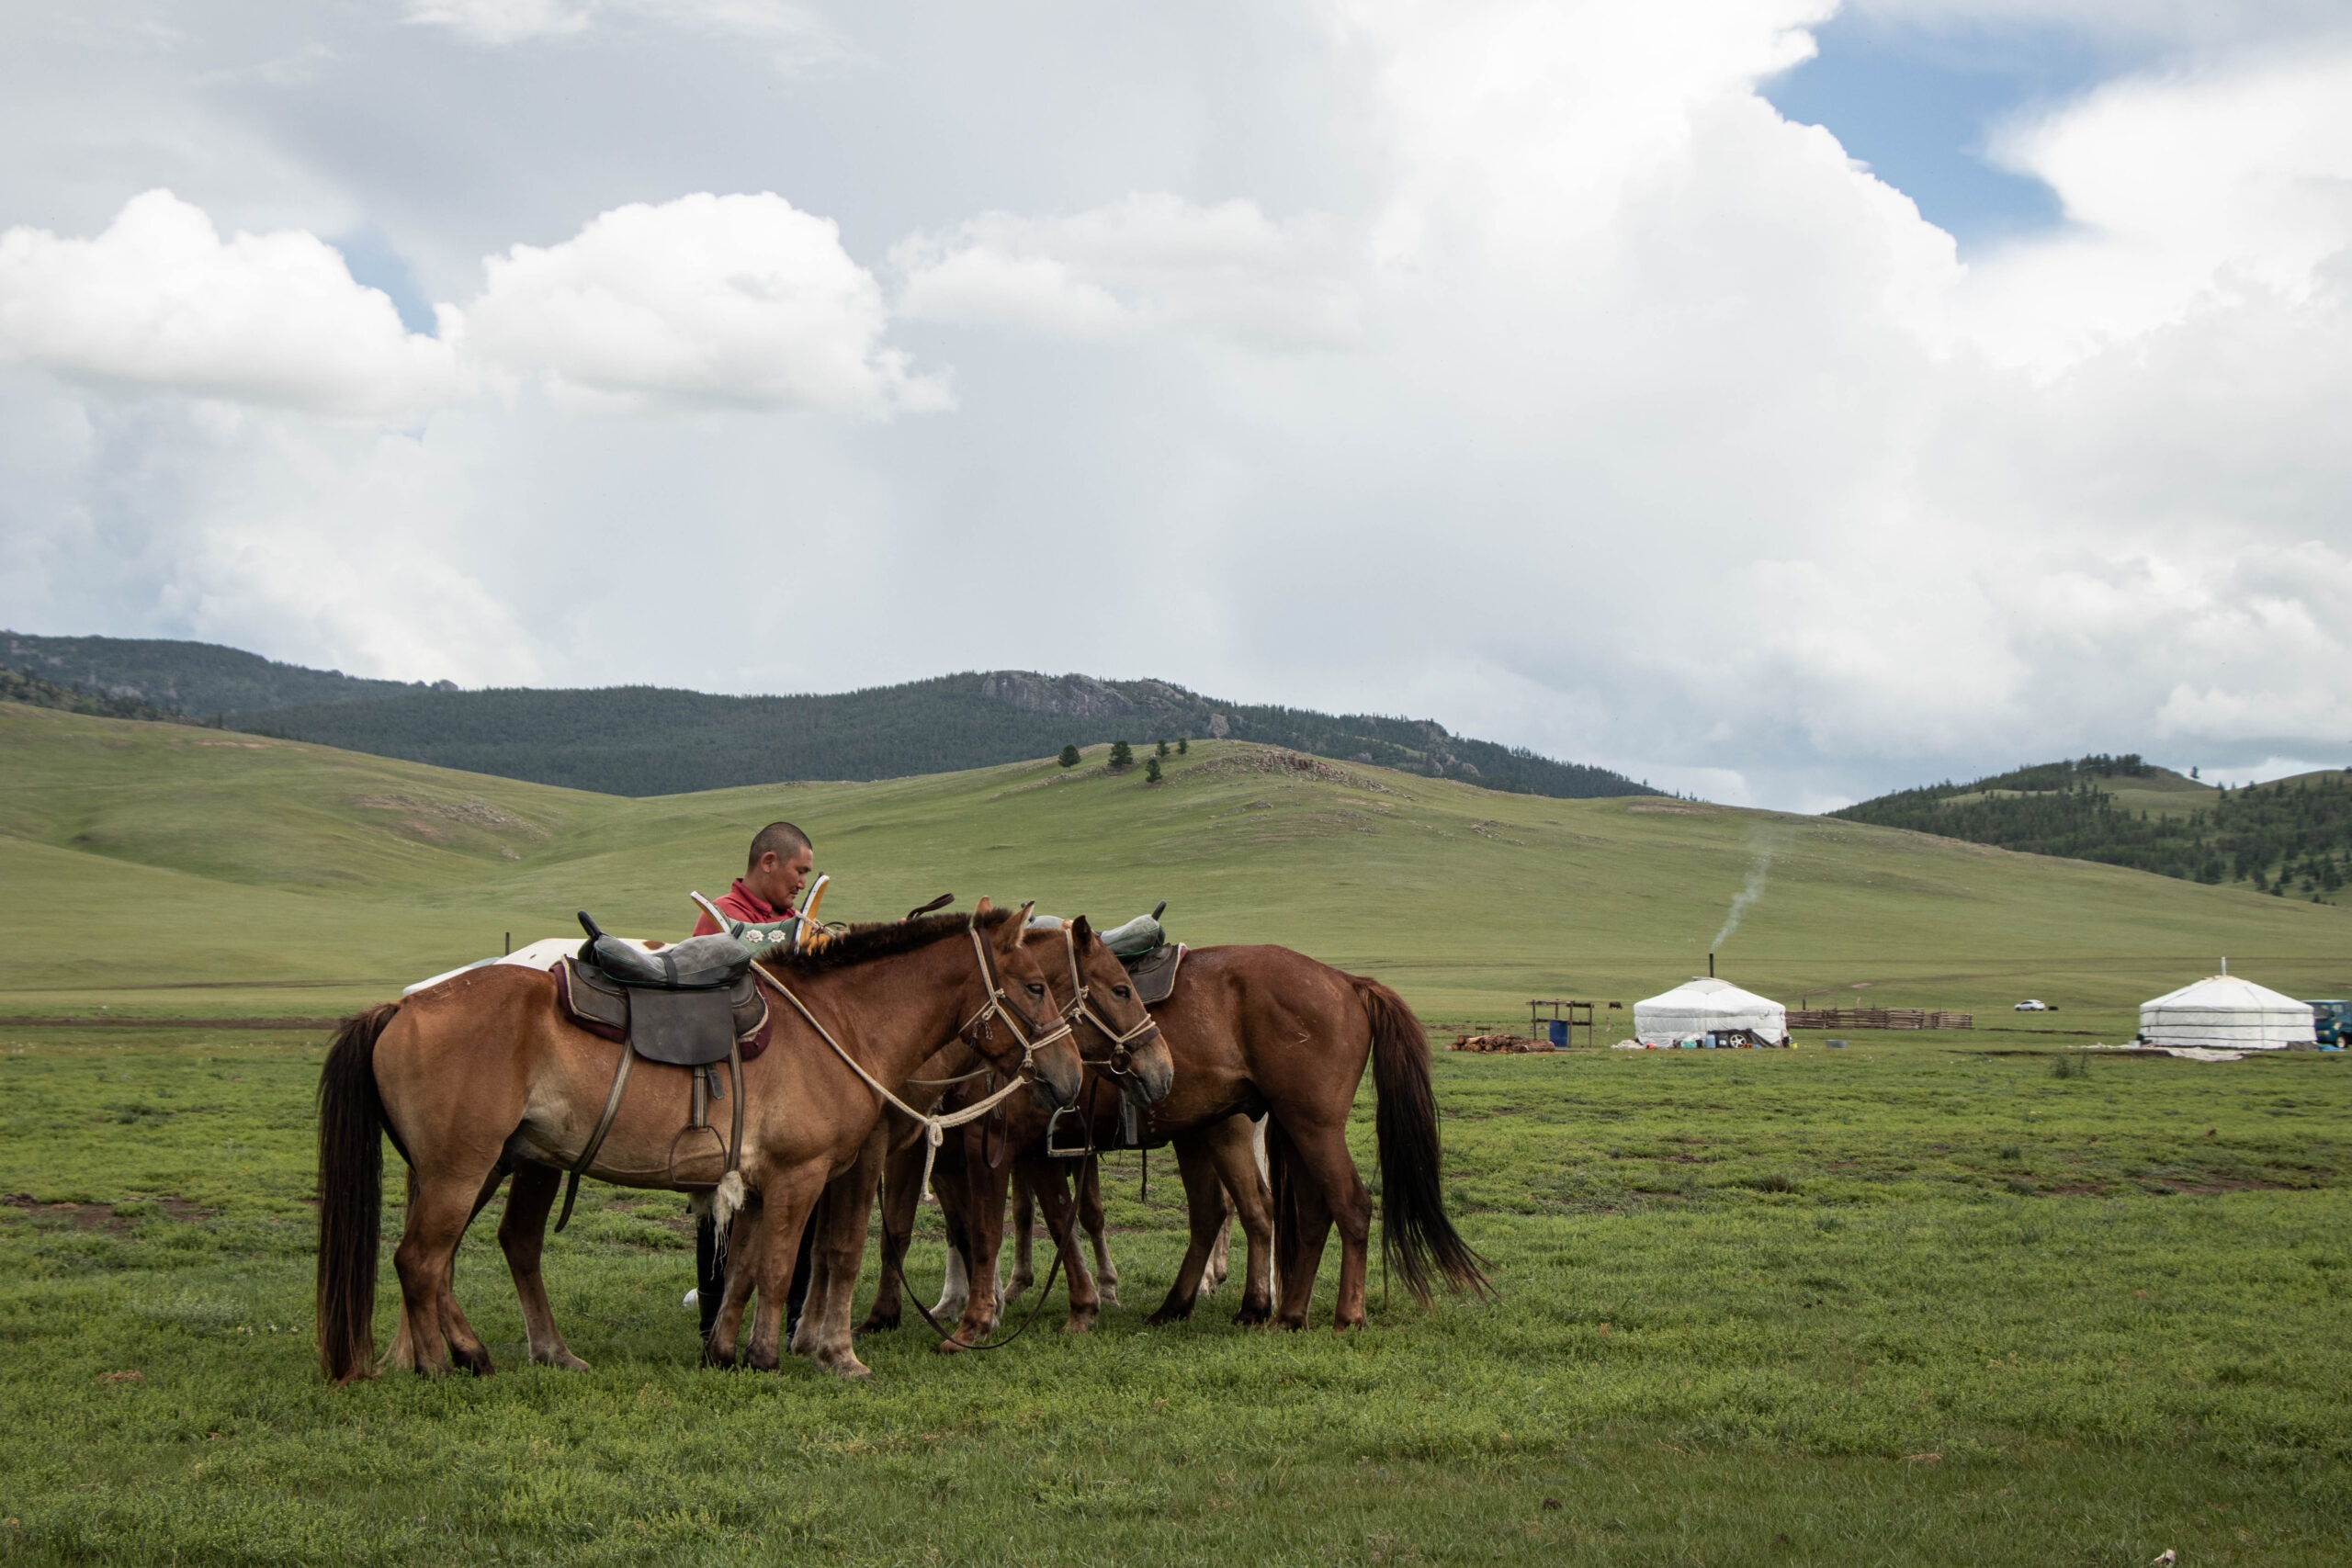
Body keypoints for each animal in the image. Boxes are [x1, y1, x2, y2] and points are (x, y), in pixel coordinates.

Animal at [315, 902, 1081, 1382]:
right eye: (1035, 986)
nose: (1070, 1075)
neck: (841, 1021)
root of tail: (404, 1005)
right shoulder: (801, 1174)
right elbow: (784, 1265)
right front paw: (785, 1355)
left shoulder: (757, 1182)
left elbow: (741, 1268)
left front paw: (725, 1351)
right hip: (462, 1167)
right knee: (421, 1259)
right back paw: (440, 1364)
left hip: (493, 1164)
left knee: (467, 1254)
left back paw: (502, 1353)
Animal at [865, 944, 1486, 1335]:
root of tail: (1346, 982)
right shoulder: (1014, 1149)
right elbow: (1027, 1220)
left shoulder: (986, 1145)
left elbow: (981, 1228)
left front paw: (981, 1311)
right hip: (1272, 1127)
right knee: (1288, 1213)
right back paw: (1266, 1312)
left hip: (1308, 1125)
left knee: (1345, 1205)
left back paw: (1342, 1316)